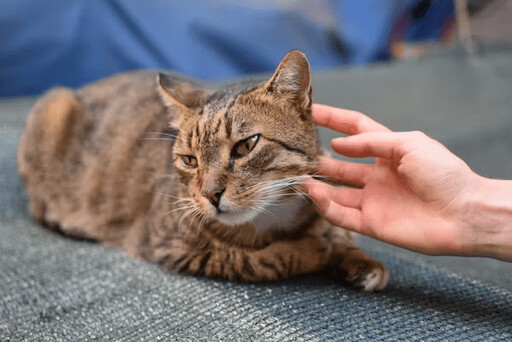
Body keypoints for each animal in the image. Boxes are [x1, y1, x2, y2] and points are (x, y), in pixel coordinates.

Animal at [18, 50, 390, 292]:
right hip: (53, 108)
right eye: (189, 160)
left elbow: (337, 233)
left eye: (245, 146)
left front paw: (358, 259)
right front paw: (313, 250)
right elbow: (258, 261)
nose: (209, 195)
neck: (274, 217)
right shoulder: (173, 245)